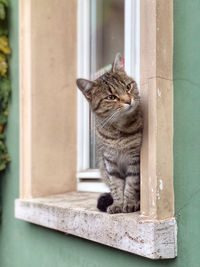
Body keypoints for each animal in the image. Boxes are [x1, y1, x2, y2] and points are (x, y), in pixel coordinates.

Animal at [76, 53, 143, 215]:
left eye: (128, 87)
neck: (118, 130)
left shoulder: (135, 158)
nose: (129, 100)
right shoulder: (109, 161)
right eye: (111, 97)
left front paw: (130, 202)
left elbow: (131, 183)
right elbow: (116, 185)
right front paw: (118, 203)